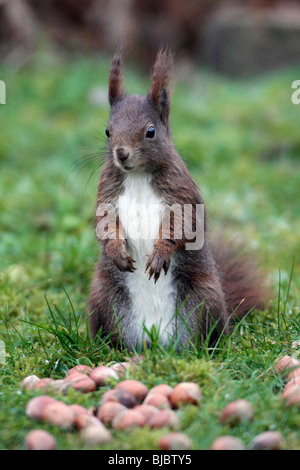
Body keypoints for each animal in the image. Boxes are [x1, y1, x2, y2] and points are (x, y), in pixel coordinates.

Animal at [88, 49, 268, 350]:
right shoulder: (108, 194)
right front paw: (116, 251)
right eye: (107, 131)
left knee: (204, 335)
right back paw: (111, 349)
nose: (121, 154)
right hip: (102, 298)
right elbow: (105, 222)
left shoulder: (182, 194)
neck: (137, 175)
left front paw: (161, 253)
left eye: (150, 131)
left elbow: (184, 223)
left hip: (204, 298)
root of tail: (155, 340)